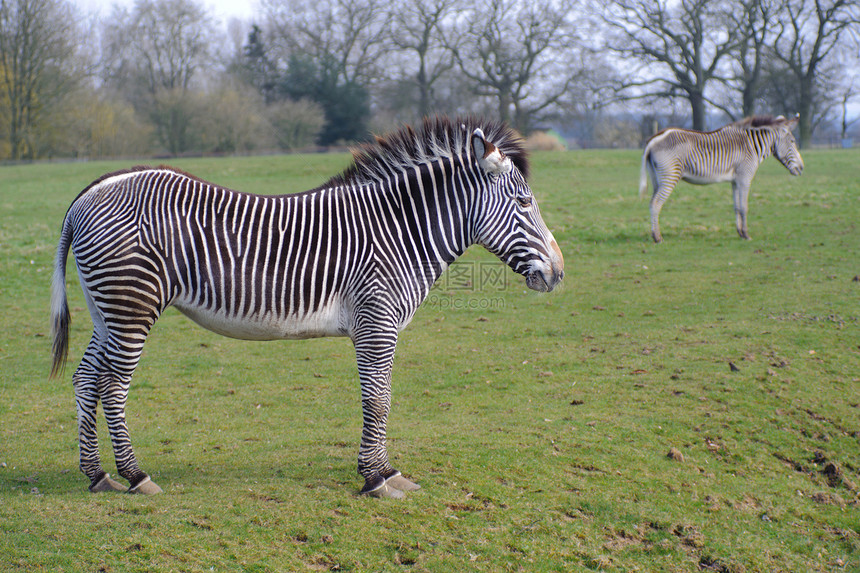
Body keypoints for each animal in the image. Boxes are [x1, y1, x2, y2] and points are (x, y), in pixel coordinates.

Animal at [52, 115, 564, 496]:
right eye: (524, 202)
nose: (559, 273)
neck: (398, 231)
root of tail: (89, 193)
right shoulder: (375, 323)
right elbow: (378, 399)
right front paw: (375, 478)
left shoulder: (379, 327)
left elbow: (382, 397)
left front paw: (386, 471)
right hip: (132, 306)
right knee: (113, 386)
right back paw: (136, 476)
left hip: (106, 310)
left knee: (86, 378)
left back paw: (97, 475)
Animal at [640, 115, 804, 242]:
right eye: (793, 142)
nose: (802, 168)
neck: (751, 146)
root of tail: (653, 140)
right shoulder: (745, 178)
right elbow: (744, 207)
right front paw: (746, 234)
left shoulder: (735, 181)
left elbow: (736, 207)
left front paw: (740, 233)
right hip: (670, 177)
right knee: (656, 203)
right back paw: (657, 237)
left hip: (657, 179)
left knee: (651, 202)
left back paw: (654, 234)